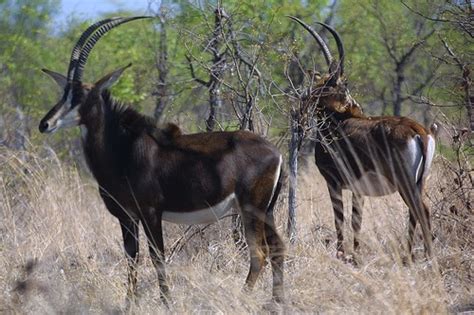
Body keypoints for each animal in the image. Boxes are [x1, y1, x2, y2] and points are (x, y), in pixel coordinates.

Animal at [39, 16, 286, 304]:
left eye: (80, 97)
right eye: (63, 94)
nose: (45, 124)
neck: (123, 149)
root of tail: (276, 152)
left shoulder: (150, 212)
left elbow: (157, 257)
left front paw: (167, 302)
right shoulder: (126, 216)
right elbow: (132, 257)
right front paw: (129, 303)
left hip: (251, 209)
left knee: (259, 253)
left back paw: (244, 297)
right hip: (267, 210)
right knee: (278, 247)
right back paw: (276, 301)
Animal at [286, 16, 436, 260]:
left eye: (338, 83)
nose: (305, 97)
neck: (340, 120)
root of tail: (419, 131)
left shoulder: (333, 182)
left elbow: (339, 220)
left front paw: (341, 255)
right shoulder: (359, 190)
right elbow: (357, 221)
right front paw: (356, 256)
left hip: (404, 182)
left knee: (421, 210)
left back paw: (426, 257)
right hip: (419, 182)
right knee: (415, 213)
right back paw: (409, 256)